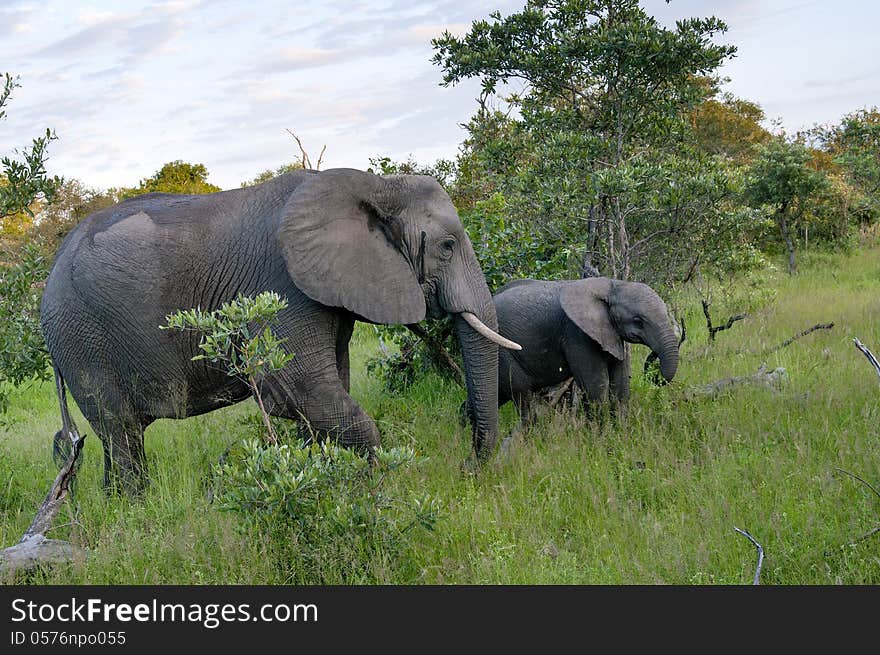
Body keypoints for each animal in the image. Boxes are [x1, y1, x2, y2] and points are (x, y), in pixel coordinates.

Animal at [41, 168, 520, 492]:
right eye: (447, 245)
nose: (467, 468)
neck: (374, 184)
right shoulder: (280, 285)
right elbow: (302, 391)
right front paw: (375, 495)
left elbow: (327, 394)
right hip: (82, 339)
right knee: (122, 435)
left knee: (117, 441)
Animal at [468, 276, 680, 426]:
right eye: (638, 321)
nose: (654, 358)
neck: (612, 286)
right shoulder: (576, 335)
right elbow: (596, 387)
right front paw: (603, 439)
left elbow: (620, 385)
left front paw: (621, 433)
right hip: (500, 351)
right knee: (521, 395)